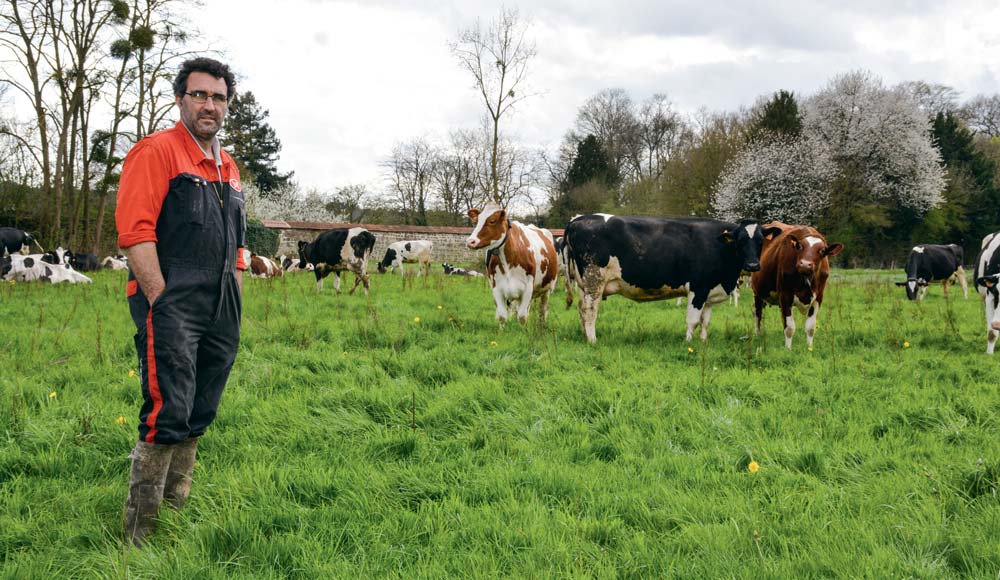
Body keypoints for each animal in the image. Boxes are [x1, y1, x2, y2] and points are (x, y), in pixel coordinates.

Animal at [564, 218, 780, 344]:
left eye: (760, 241)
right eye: (740, 241)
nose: (753, 265)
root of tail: (579, 220)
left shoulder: (710, 292)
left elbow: (705, 320)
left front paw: (703, 341)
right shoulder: (698, 288)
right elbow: (693, 320)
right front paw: (688, 342)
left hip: (584, 284)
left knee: (581, 309)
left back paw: (584, 336)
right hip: (594, 280)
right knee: (590, 311)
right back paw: (592, 340)